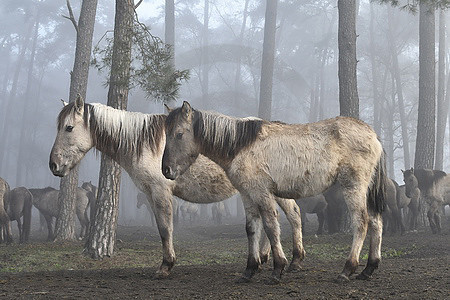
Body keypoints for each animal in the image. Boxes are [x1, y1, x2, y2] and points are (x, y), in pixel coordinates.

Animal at [162, 102, 386, 282]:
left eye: (179, 134)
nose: (166, 170)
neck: (242, 145)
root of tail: (373, 135)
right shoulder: (247, 195)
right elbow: (252, 229)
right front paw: (249, 270)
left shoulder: (262, 193)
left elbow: (270, 227)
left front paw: (278, 268)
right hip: (366, 190)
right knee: (376, 221)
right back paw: (368, 269)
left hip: (353, 186)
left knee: (362, 222)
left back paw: (347, 270)